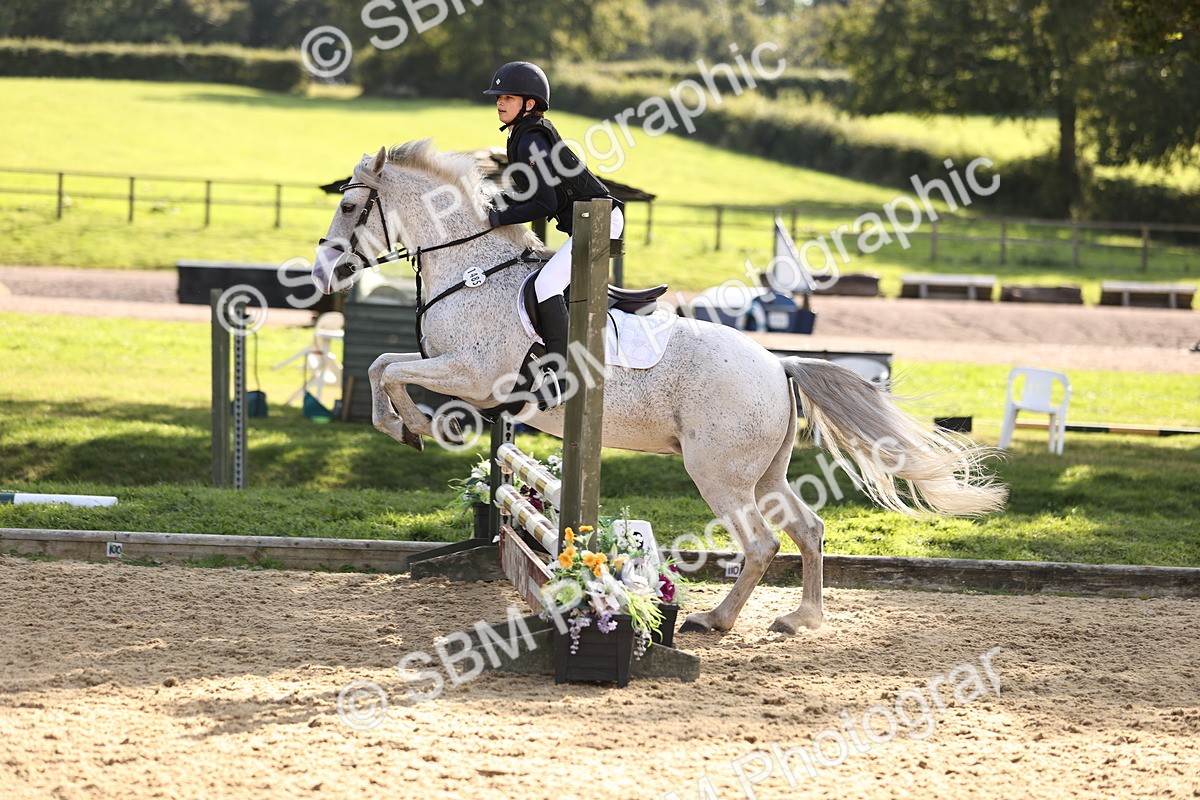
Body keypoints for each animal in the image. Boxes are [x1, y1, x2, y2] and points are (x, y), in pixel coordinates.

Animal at [312, 140, 1007, 635]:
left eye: (349, 207)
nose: (321, 272)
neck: (472, 269)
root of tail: (779, 364)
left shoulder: (475, 375)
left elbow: (387, 369)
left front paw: (412, 426)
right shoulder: (462, 374)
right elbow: (384, 364)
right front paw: (408, 426)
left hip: (717, 470)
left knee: (760, 542)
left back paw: (715, 620)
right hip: (764, 472)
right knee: (807, 529)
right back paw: (801, 619)